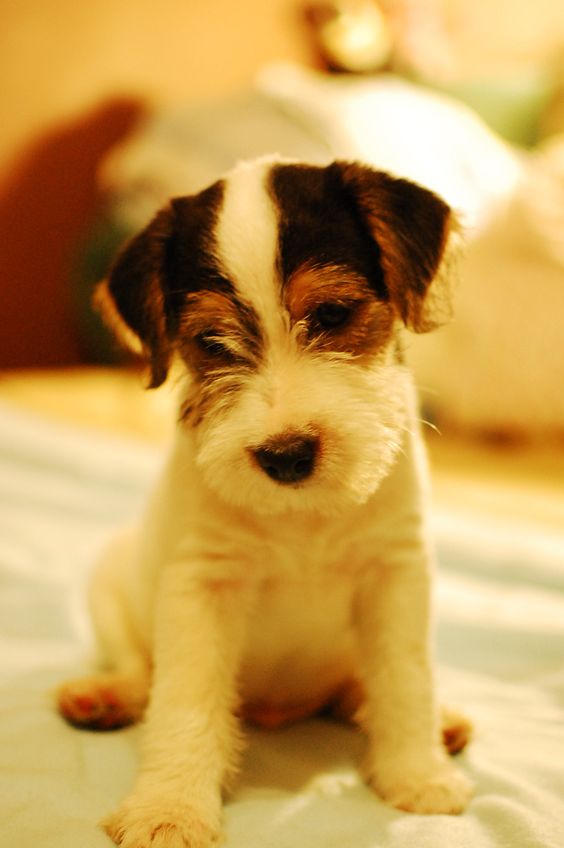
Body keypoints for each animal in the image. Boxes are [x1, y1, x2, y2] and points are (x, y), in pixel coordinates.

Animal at [58, 157, 472, 848]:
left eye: (332, 313)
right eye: (212, 342)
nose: (286, 456)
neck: (304, 519)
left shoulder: (396, 572)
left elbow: (405, 677)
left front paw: (419, 775)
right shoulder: (201, 586)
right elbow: (185, 700)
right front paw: (169, 809)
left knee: (361, 686)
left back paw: (437, 723)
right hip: (109, 586)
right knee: (139, 668)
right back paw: (104, 696)